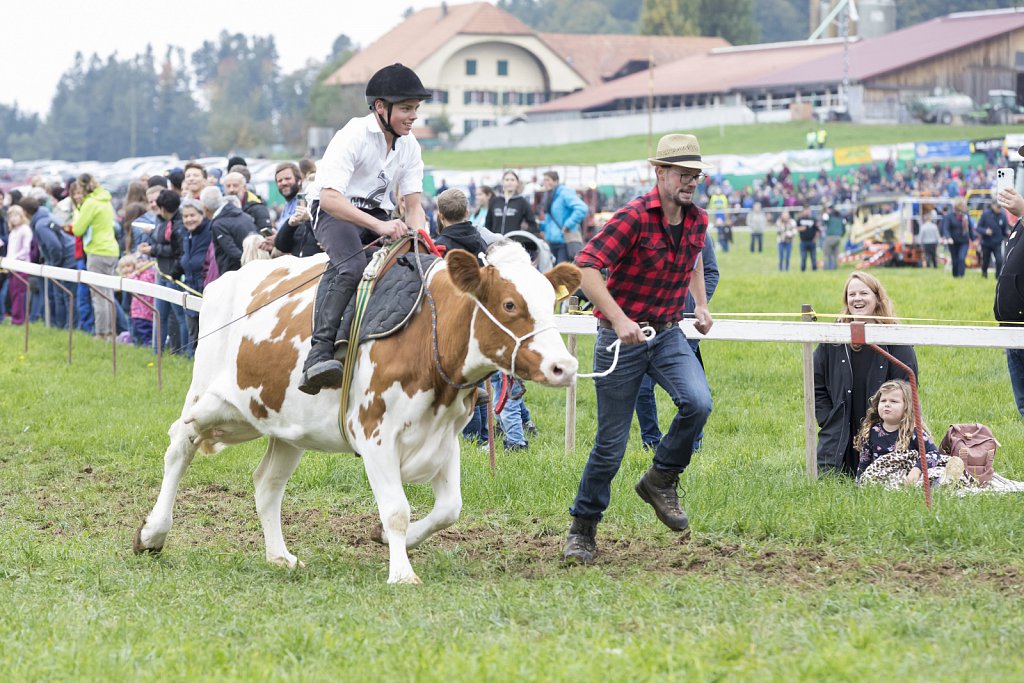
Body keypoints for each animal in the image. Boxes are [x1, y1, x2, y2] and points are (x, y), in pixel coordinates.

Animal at [135, 242, 581, 585]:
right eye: (509, 304)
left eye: (552, 302)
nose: (565, 366)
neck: (431, 335)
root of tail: (225, 280)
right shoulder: (375, 432)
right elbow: (397, 510)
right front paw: (402, 573)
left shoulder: (443, 435)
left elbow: (449, 509)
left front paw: (390, 540)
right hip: (213, 401)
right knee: (180, 444)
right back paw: (153, 533)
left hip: (286, 425)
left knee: (266, 484)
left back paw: (279, 555)